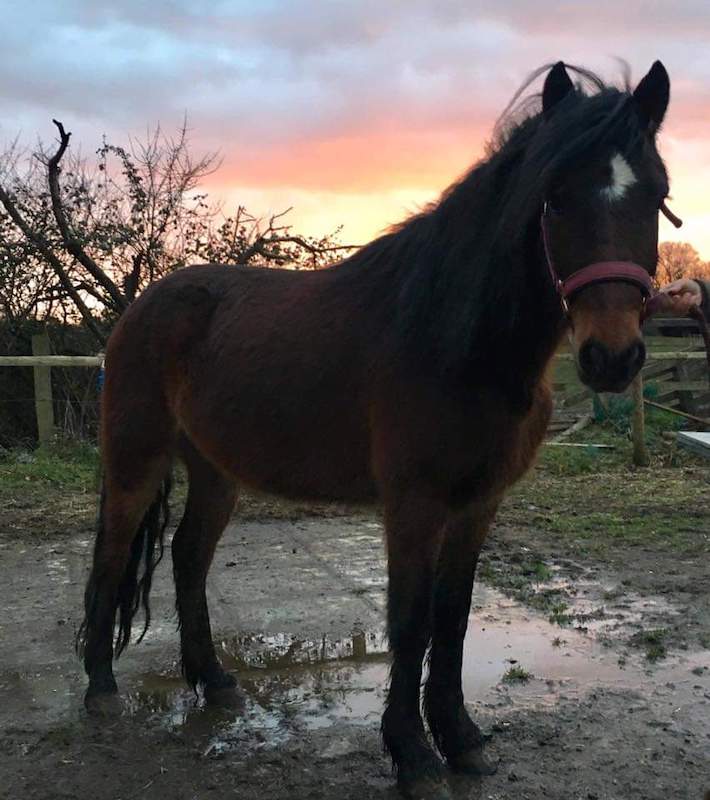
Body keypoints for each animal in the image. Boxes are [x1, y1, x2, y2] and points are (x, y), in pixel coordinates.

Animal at [78, 60, 673, 799]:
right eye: (555, 196)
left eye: (655, 193)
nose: (611, 357)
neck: (456, 340)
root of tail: (145, 305)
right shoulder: (413, 504)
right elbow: (411, 622)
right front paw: (413, 754)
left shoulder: (478, 504)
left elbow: (453, 619)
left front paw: (462, 740)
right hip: (138, 458)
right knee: (111, 552)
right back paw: (100, 689)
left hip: (216, 470)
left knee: (189, 557)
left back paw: (214, 682)